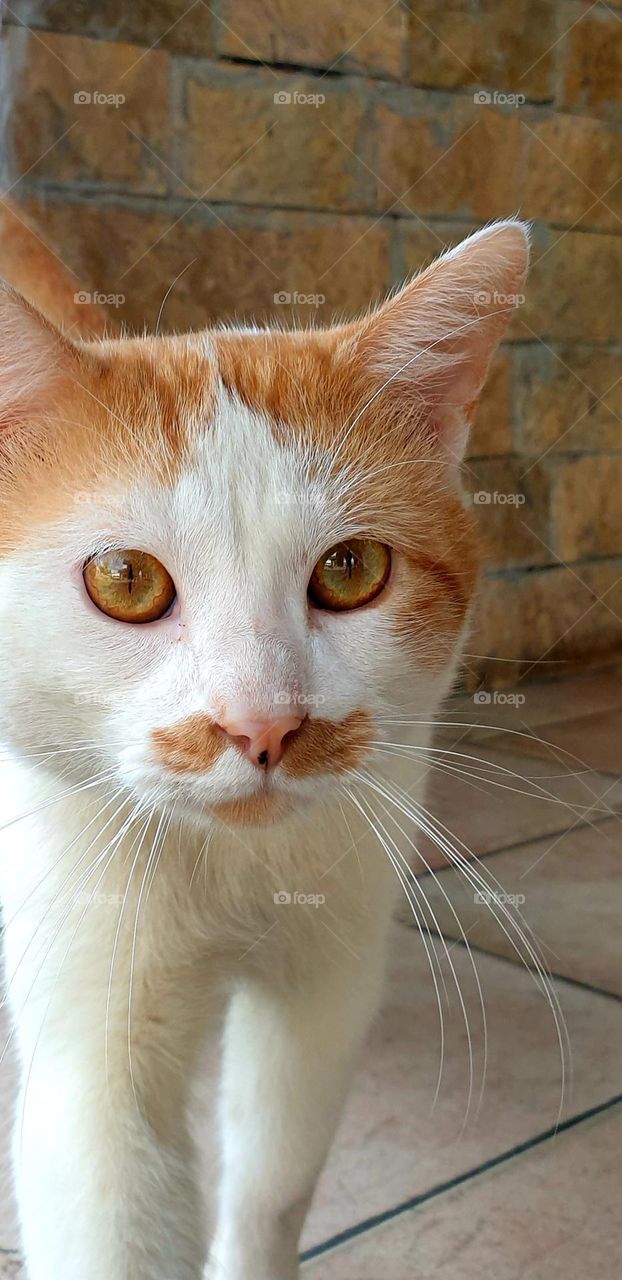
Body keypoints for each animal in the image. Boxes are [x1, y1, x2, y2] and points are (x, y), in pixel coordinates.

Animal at [0, 215, 529, 1274]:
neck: (232, 868)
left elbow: (274, 1180)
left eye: (351, 568)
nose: (264, 724)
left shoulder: (326, 983)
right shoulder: (92, 1057)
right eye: (125, 580)